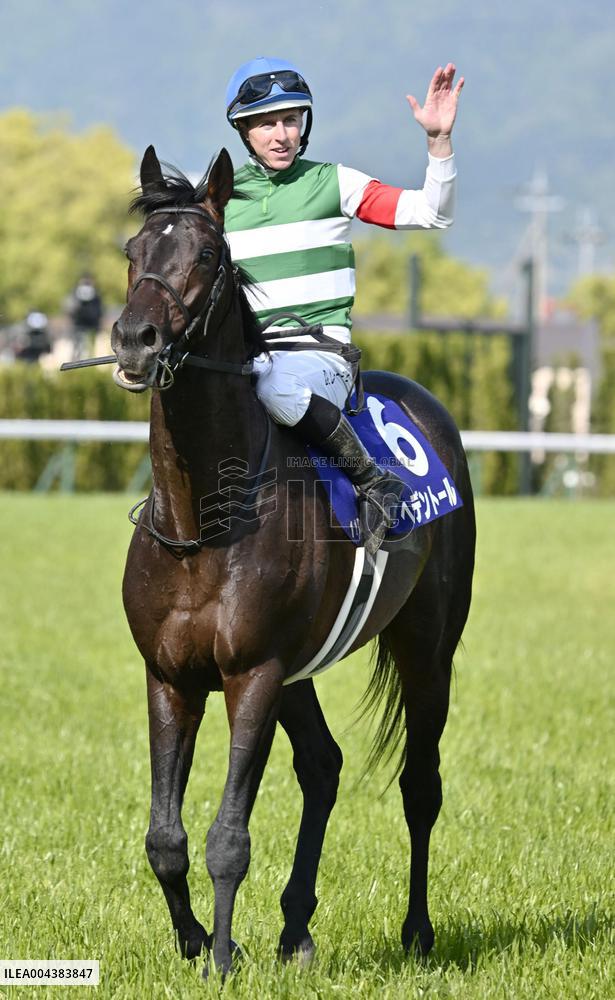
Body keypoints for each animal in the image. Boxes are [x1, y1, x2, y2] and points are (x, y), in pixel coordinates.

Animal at [110, 144, 476, 977]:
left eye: (205, 255)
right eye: (134, 252)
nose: (135, 339)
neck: (202, 520)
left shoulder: (252, 674)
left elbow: (228, 838)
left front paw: (220, 958)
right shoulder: (170, 675)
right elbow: (165, 837)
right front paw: (195, 942)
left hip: (426, 647)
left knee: (420, 785)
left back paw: (416, 930)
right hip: (300, 669)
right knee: (324, 765)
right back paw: (295, 927)